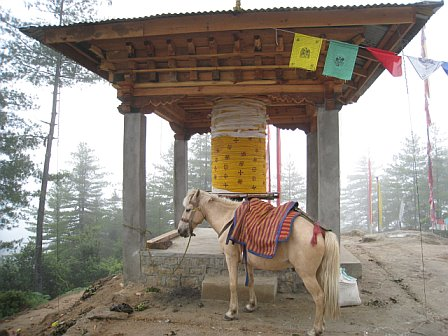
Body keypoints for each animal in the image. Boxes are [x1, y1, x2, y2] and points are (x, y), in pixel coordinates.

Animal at [178, 189, 340, 336]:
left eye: (188, 209)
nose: (180, 231)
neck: (228, 219)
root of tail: (320, 231)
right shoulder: (248, 262)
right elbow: (250, 282)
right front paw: (251, 305)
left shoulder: (231, 258)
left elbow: (232, 284)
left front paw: (231, 312)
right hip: (318, 273)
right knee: (323, 295)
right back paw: (321, 325)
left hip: (307, 275)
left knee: (319, 297)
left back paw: (315, 329)